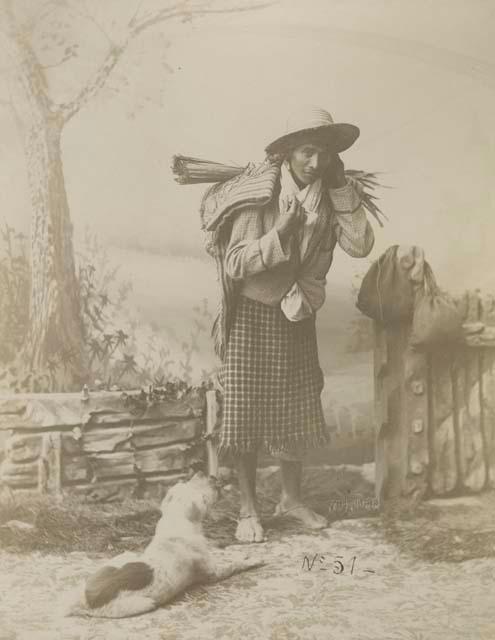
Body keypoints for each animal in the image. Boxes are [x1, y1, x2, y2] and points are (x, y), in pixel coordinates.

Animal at [67, 472, 268, 616]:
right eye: (202, 497)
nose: (206, 473)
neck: (176, 520)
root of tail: (84, 601)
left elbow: (226, 553)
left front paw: (240, 551)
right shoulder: (213, 572)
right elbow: (235, 564)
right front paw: (253, 559)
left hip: (122, 557)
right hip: (143, 603)